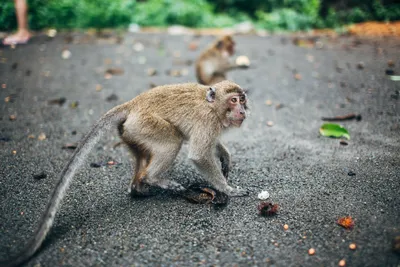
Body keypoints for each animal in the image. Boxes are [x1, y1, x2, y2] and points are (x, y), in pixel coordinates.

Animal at [1, 80, 248, 267]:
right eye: (233, 100)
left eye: (243, 99)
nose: (243, 110)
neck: (213, 106)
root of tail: (133, 103)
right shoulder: (207, 121)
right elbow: (199, 154)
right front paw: (227, 189)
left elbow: (210, 147)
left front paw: (225, 156)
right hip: (145, 125)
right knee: (172, 141)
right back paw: (153, 179)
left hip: (131, 131)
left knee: (144, 154)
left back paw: (138, 187)